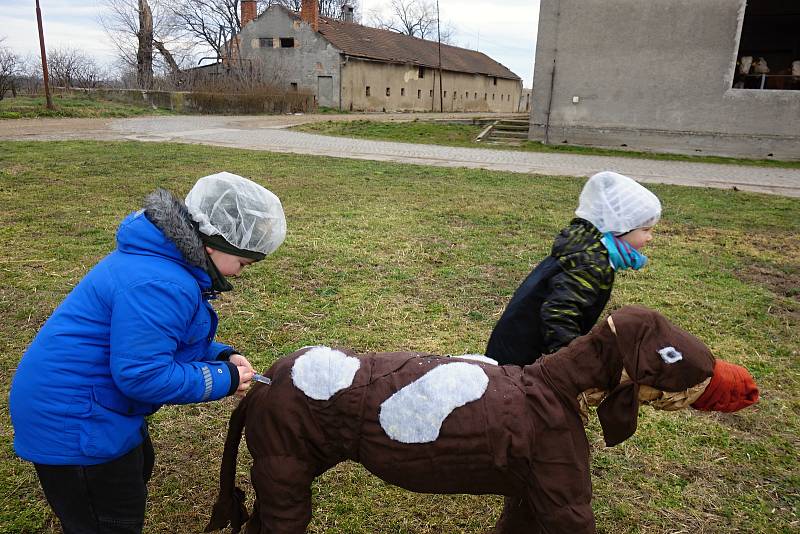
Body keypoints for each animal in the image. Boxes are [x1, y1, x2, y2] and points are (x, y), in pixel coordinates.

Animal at [205, 308, 756, 532]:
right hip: (285, 464)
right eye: (669, 353)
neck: (557, 385)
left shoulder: (528, 491)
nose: (746, 387)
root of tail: (263, 383)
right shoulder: (563, 496)